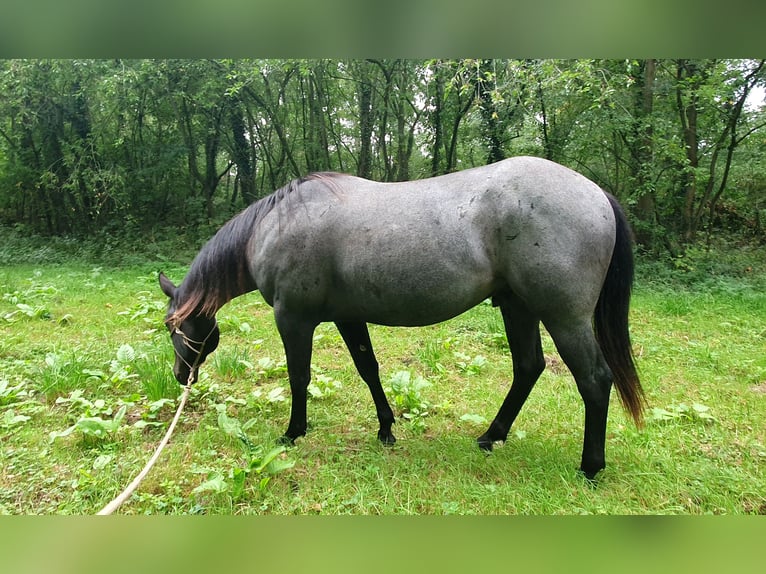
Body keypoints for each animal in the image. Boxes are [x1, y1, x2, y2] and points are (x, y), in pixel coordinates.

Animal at [159, 156, 645, 479]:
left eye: (170, 328)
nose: (182, 376)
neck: (276, 225)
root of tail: (596, 193)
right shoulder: (347, 317)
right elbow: (368, 369)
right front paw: (386, 429)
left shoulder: (293, 319)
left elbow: (299, 376)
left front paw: (293, 432)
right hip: (518, 306)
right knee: (528, 367)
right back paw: (490, 436)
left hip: (565, 318)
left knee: (594, 380)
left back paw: (590, 467)